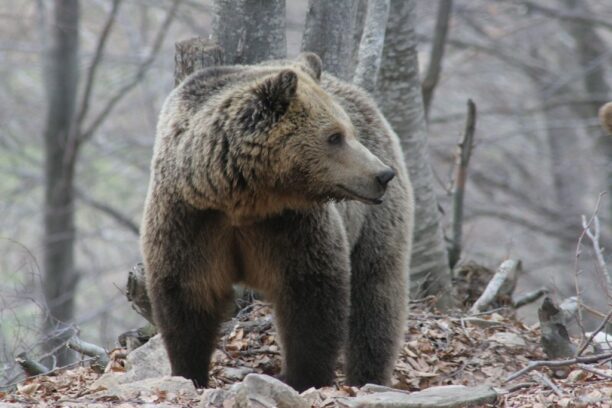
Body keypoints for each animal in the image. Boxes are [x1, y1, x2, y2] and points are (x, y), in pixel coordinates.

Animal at [141, 52, 414, 390]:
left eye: (347, 131)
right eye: (334, 136)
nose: (382, 174)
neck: (242, 199)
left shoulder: (290, 226)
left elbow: (311, 300)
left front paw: (303, 377)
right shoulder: (191, 220)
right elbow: (186, 297)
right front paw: (190, 372)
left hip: (373, 223)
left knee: (376, 294)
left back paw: (368, 376)